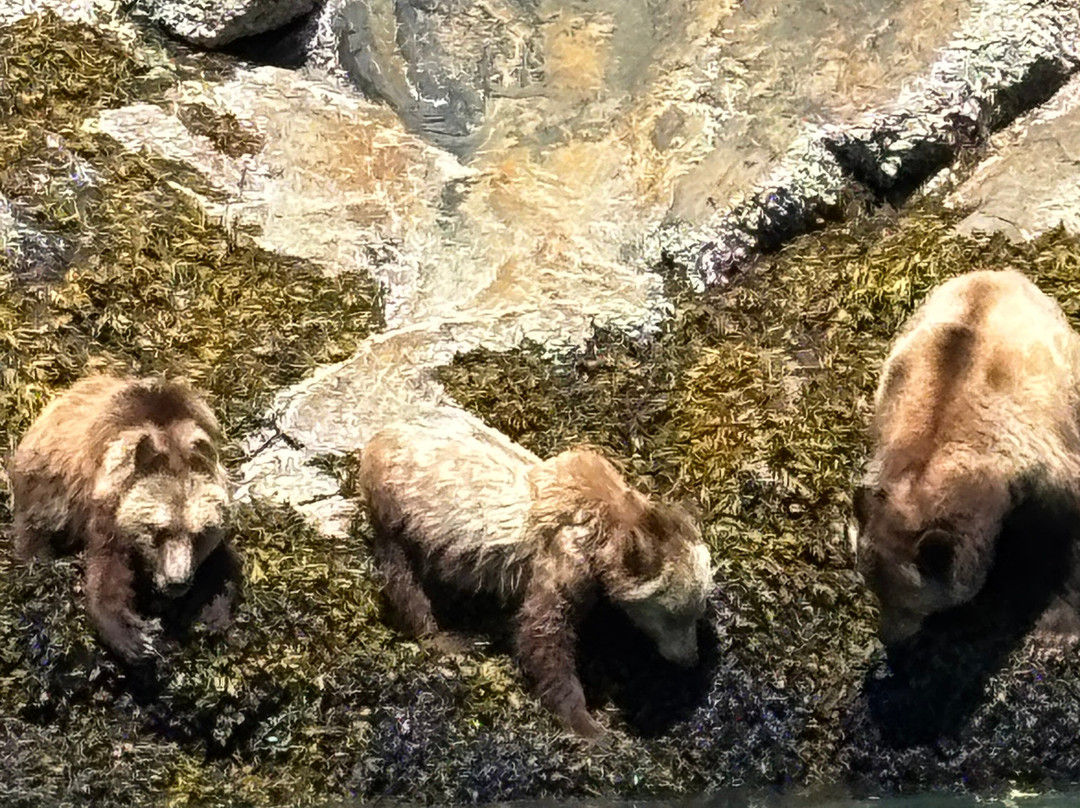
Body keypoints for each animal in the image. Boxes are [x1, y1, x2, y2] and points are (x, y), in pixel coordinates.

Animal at [9, 374, 238, 662]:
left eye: (200, 534)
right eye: (159, 530)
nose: (177, 582)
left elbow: (224, 566)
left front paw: (211, 614)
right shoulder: (108, 510)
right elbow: (109, 571)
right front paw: (136, 636)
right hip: (47, 480)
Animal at [358, 418, 713, 739]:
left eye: (696, 612)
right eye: (672, 615)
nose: (691, 658)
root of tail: (372, 445)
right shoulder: (563, 560)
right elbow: (542, 634)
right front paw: (588, 723)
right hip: (399, 516)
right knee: (404, 581)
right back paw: (445, 636)